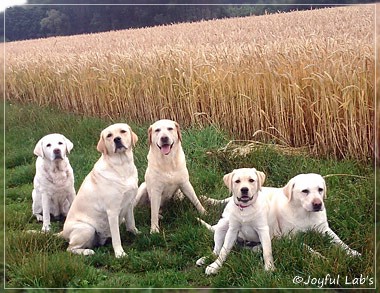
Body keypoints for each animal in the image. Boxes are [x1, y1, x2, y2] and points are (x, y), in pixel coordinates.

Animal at [61, 122, 139, 256]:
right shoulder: (112, 211)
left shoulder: (129, 203)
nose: (117, 139)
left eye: (123, 131)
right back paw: (87, 252)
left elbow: (131, 223)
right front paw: (120, 254)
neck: (122, 166)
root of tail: (62, 232)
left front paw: (137, 232)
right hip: (87, 228)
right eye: (109, 135)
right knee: (70, 248)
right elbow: (116, 237)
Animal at [200, 172, 360, 256]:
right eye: (305, 191)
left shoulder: (325, 229)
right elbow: (307, 247)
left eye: (320, 189)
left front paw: (353, 253)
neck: (305, 213)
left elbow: (340, 242)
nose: (318, 204)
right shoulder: (291, 237)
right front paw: (318, 255)